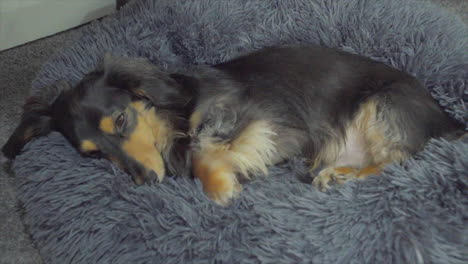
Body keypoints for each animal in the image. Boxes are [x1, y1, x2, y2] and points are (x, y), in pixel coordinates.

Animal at [2, 45, 464, 205]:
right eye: (93, 155)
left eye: (120, 119)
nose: (146, 181)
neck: (174, 112)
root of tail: (446, 116)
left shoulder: (258, 119)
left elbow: (204, 153)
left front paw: (221, 186)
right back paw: (338, 173)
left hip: (383, 106)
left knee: (400, 161)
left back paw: (341, 177)